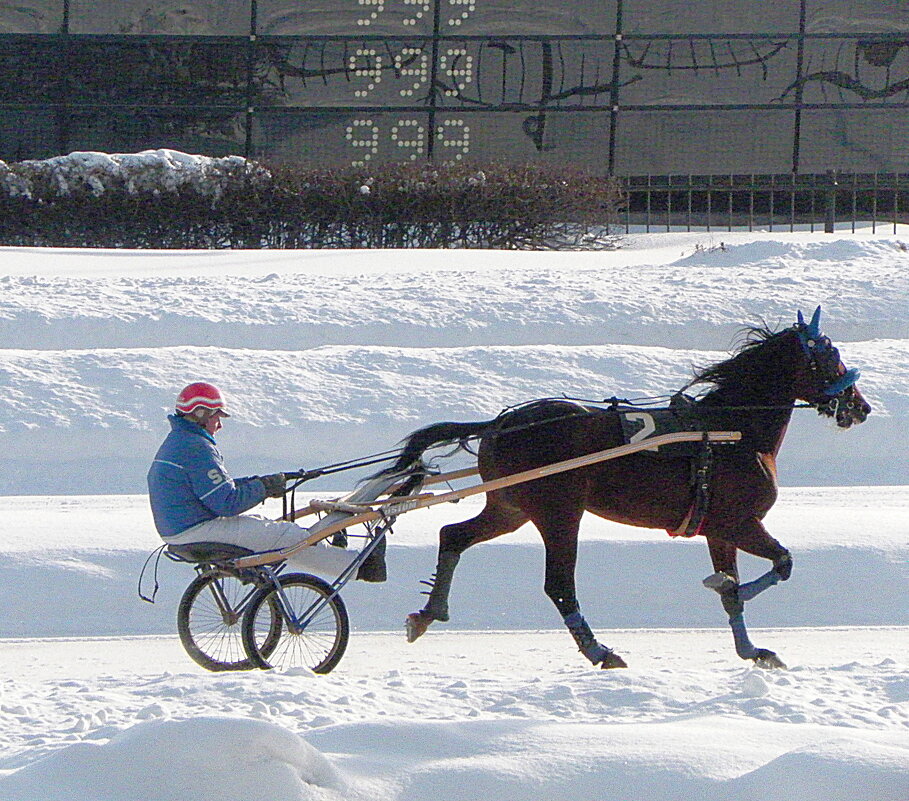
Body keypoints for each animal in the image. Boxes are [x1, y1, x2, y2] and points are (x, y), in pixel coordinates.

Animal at [386, 306, 868, 668]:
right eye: (830, 356)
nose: (860, 406)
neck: (733, 431)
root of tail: (499, 424)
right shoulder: (738, 522)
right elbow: (781, 564)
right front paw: (728, 589)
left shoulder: (718, 531)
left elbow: (739, 589)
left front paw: (751, 648)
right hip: (558, 513)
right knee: (558, 584)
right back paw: (599, 650)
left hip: (510, 507)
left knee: (453, 536)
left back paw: (429, 612)